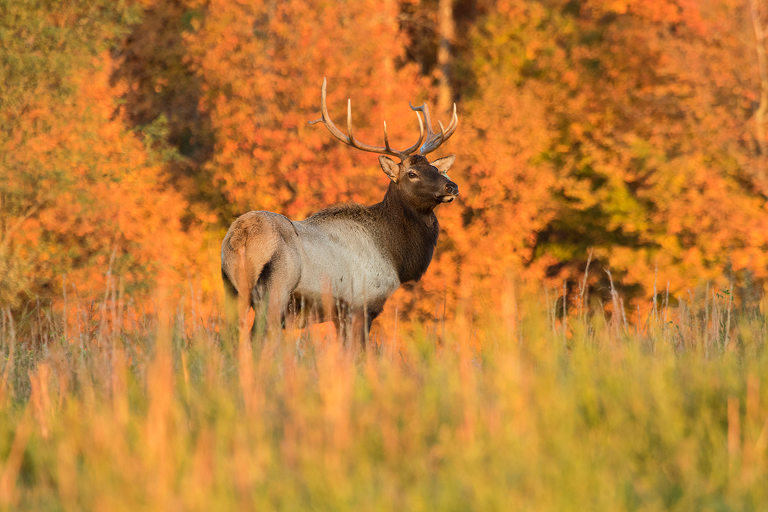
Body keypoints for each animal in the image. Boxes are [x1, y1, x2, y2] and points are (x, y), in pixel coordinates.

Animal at [221, 78, 459, 347]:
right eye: (412, 173)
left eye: (436, 169)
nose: (452, 186)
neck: (396, 256)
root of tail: (241, 236)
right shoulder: (361, 303)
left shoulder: (341, 314)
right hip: (276, 289)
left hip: (231, 290)